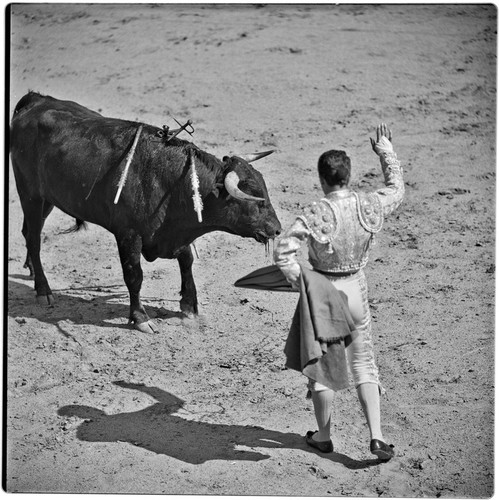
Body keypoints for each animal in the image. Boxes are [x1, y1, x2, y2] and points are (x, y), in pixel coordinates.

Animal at [10, 92, 282, 334]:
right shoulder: (128, 234)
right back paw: (43, 290)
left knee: (28, 232)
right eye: (255, 198)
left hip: (47, 199)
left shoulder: (176, 232)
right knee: (33, 237)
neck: (170, 180)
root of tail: (36, 100)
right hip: (30, 194)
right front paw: (140, 318)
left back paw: (31, 269)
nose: (277, 229)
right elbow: (134, 275)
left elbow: (186, 261)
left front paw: (189, 305)